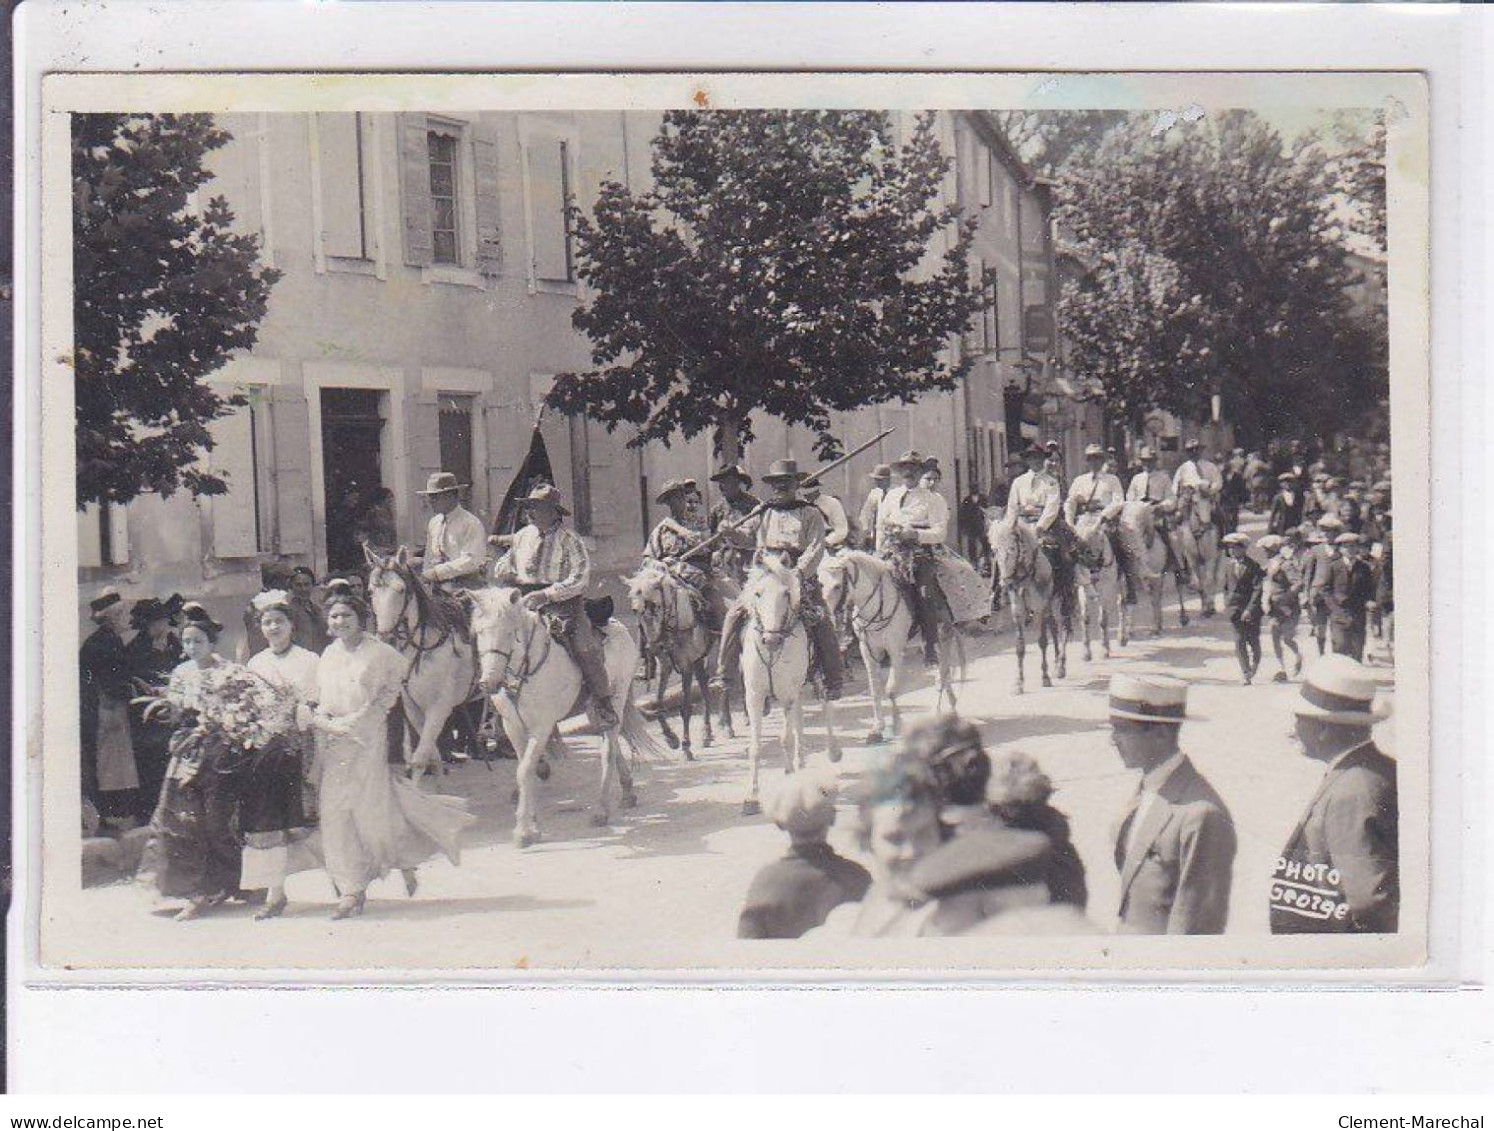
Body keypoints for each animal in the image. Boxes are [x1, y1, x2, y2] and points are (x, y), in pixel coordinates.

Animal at [364, 549, 475, 782]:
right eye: (371, 591)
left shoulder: (439, 708)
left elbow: (420, 758)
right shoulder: (413, 709)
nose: (386, 638)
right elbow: (432, 757)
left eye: (401, 589)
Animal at [469, 585, 663, 842]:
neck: (527, 669)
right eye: (480, 632)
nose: (488, 683)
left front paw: (523, 830)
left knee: (609, 749)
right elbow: (524, 769)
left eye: (510, 632)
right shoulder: (513, 726)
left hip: (618, 696)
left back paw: (601, 811)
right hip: (593, 709)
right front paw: (531, 823)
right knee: (611, 741)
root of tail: (619, 626)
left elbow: (525, 770)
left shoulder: (541, 727)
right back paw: (627, 792)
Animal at [735, 552, 842, 812]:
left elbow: (786, 737)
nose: (771, 640)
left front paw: (790, 778)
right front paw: (751, 797)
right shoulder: (754, 696)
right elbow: (756, 746)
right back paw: (800, 763)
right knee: (800, 720)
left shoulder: (787, 695)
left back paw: (832, 751)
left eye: (786, 593)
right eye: (757, 593)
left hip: (817, 677)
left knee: (825, 706)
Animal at [1075, 510, 1123, 657]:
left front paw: (1105, 649)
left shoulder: (1106, 588)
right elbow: (1085, 618)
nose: (1083, 562)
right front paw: (1086, 652)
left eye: (1096, 538)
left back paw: (1123, 637)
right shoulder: (1083, 588)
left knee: (1122, 604)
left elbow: (1103, 620)